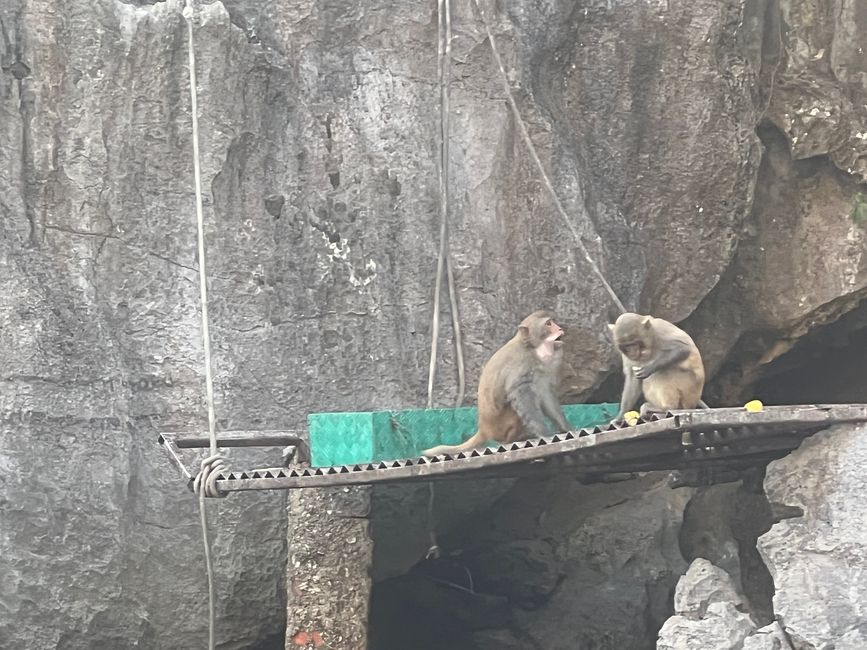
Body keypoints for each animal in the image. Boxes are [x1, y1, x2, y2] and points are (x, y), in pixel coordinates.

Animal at [422, 310, 571, 457]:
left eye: (552, 322)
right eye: (548, 323)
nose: (559, 328)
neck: (532, 347)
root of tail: (484, 429)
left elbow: (545, 394)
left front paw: (566, 428)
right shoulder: (521, 364)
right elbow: (521, 396)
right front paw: (544, 433)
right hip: (501, 427)